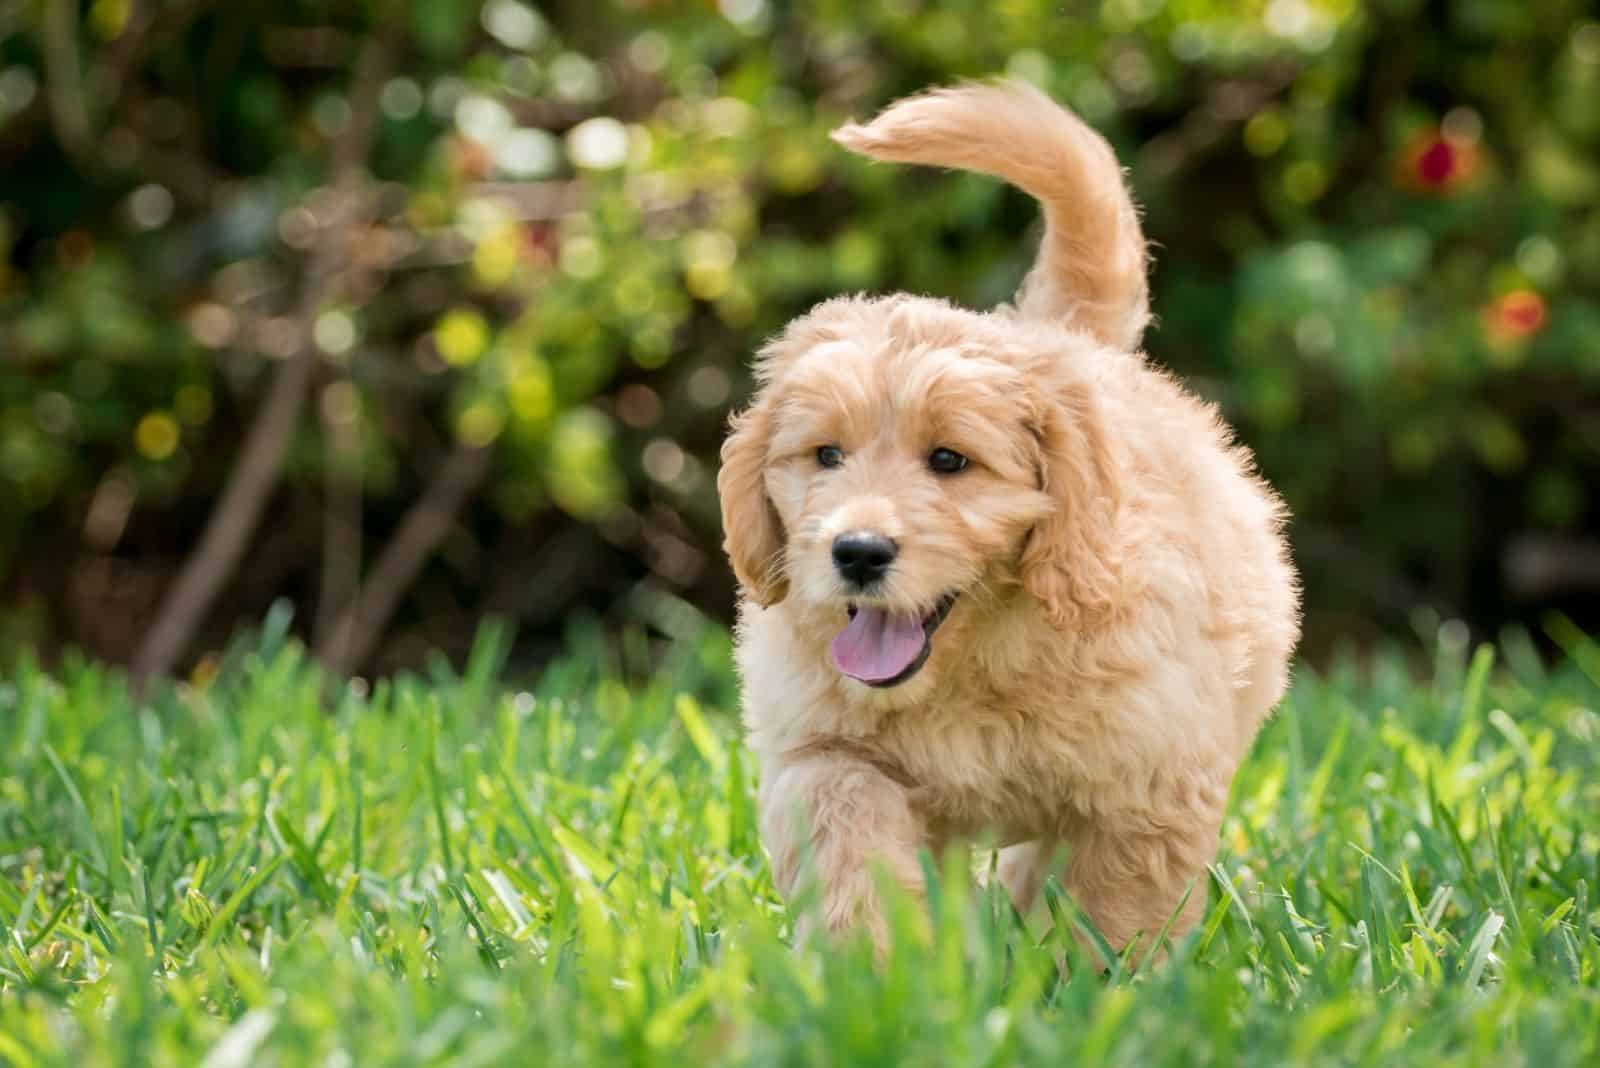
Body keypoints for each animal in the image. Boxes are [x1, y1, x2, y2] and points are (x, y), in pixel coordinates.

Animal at [723, 81, 1299, 952]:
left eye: (949, 460)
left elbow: (1119, 909)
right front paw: (867, 963)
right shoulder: (822, 747)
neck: (974, 665)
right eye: (825, 455)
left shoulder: (1150, 782)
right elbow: (847, 830)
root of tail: (1063, 334)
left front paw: (1112, 982)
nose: (857, 552)